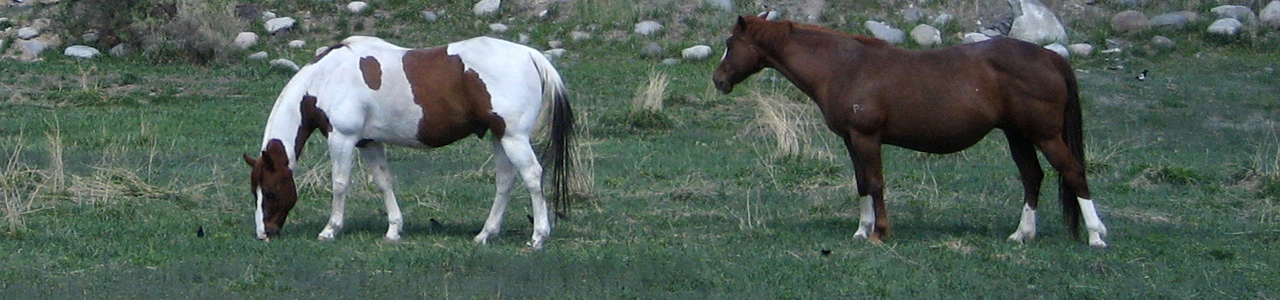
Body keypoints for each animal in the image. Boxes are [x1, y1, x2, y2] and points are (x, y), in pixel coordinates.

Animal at [239, 36, 576, 250]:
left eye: (271, 191)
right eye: (255, 193)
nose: (263, 234)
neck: (325, 78)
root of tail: (530, 54)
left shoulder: (342, 138)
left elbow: (340, 184)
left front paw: (330, 230)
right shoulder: (369, 142)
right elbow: (384, 182)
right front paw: (393, 230)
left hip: (513, 137)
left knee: (532, 176)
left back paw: (538, 237)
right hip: (500, 137)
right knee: (505, 181)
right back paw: (485, 235)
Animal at [711, 15, 1111, 246]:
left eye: (731, 44)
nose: (718, 79)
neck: (844, 66)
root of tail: (1049, 56)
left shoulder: (867, 138)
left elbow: (875, 183)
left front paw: (879, 233)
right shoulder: (851, 140)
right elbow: (861, 184)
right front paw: (861, 230)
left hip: (1045, 136)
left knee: (1073, 172)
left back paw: (1096, 235)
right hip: (1018, 135)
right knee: (1032, 177)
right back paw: (1022, 233)